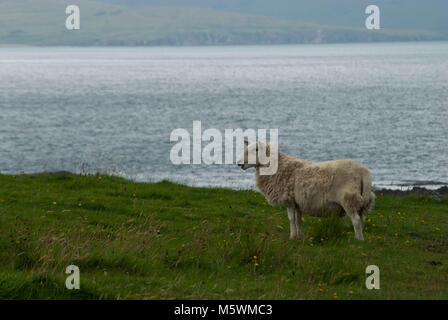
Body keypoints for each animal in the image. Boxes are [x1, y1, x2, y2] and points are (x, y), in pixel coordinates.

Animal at [236, 141, 376, 240]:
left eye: (255, 150)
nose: (238, 163)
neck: (277, 166)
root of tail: (364, 171)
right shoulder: (297, 202)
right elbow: (298, 220)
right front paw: (300, 236)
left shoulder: (288, 200)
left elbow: (291, 219)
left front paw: (292, 236)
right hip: (360, 201)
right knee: (362, 220)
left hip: (349, 198)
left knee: (356, 221)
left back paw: (358, 240)